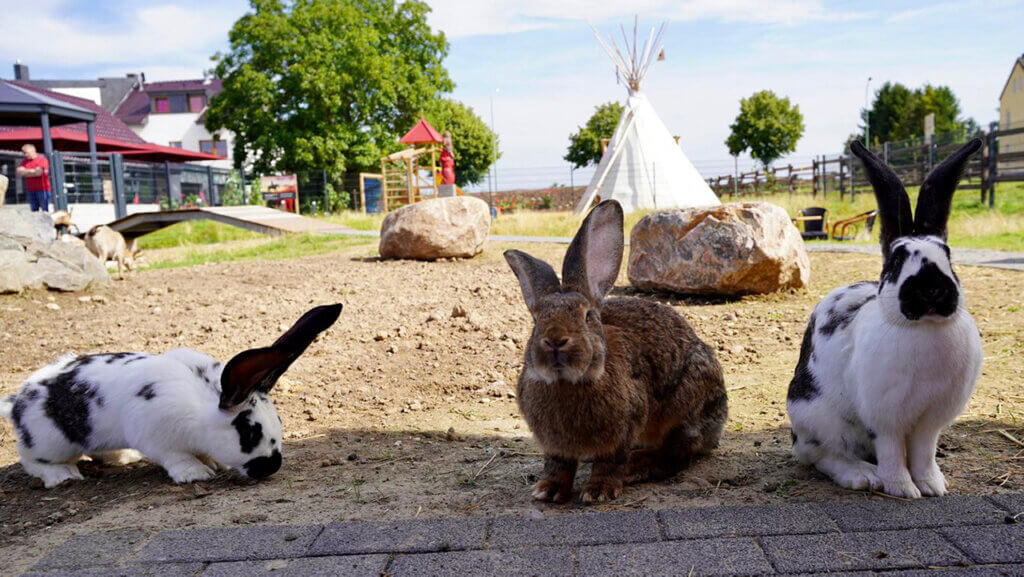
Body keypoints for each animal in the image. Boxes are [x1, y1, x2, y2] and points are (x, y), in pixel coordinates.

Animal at [0, 303, 344, 487]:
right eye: (248, 433)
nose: (271, 467)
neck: (202, 412)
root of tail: (17, 401)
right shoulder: (156, 436)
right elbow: (176, 458)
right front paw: (197, 473)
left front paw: (212, 463)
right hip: (48, 442)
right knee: (32, 460)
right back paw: (63, 476)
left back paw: (121, 458)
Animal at [505, 200, 729, 504]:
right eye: (537, 319)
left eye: (587, 315)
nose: (555, 341)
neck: (568, 381)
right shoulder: (555, 445)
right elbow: (558, 464)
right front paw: (547, 490)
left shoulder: (622, 431)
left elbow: (610, 462)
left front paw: (598, 491)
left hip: (685, 411)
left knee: (676, 455)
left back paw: (637, 467)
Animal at [782, 140, 983, 502]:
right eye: (896, 261)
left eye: (948, 255)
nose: (932, 288)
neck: (922, 328)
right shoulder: (886, 419)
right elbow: (892, 453)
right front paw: (902, 488)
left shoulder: (930, 421)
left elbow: (924, 452)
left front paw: (932, 485)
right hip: (816, 415)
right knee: (820, 455)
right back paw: (863, 476)